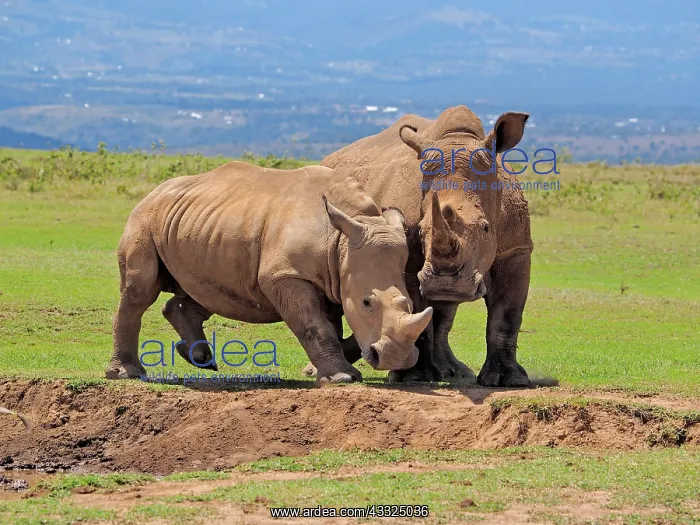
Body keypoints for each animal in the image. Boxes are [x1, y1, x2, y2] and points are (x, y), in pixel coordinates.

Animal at [105, 161, 433, 385]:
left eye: (410, 304)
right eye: (367, 303)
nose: (397, 358)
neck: (343, 239)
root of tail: (153, 192)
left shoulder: (333, 275)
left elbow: (328, 325)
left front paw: (327, 370)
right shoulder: (287, 275)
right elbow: (313, 325)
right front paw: (341, 378)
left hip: (203, 225)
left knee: (210, 291)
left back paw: (200, 359)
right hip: (143, 219)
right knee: (140, 291)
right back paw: (126, 374)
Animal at [318, 105, 533, 387]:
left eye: (486, 228)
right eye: (420, 230)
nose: (445, 283)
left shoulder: (516, 250)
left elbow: (507, 315)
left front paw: (509, 380)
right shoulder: (408, 259)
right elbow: (417, 311)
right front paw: (415, 377)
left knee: (445, 310)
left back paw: (455, 373)